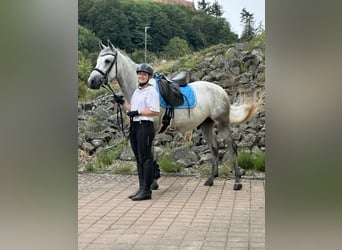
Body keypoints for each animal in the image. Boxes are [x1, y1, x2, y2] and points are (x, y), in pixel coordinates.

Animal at [86, 40, 262, 189]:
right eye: (97, 60)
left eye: (107, 61)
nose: (91, 82)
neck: (142, 88)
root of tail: (220, 90)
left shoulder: (151, 129)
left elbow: (150, 153)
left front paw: (153, 183)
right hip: (206, 125)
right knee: (214, 147)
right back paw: (211, 179)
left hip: (223, 123)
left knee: (232, 148)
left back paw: (237, 182)